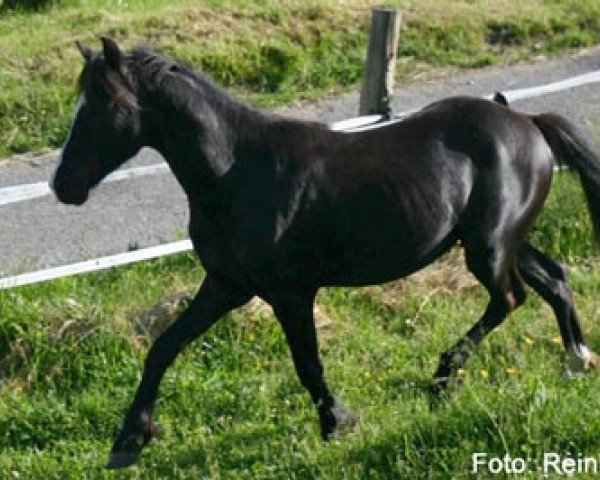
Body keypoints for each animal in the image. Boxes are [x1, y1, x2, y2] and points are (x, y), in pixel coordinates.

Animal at [50, 38, 600, 468]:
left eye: (105, 106)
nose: (62, 185)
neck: (236, 171)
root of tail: (526, 121)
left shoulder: (290, 292)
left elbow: (308, 364)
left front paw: (338, 422)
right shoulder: (226, 285)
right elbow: (164, 347)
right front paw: (129, 441)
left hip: (487, 248)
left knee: (510, 298)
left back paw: (443, 378)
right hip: (500, 241)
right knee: (553, 278)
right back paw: (578, 358)